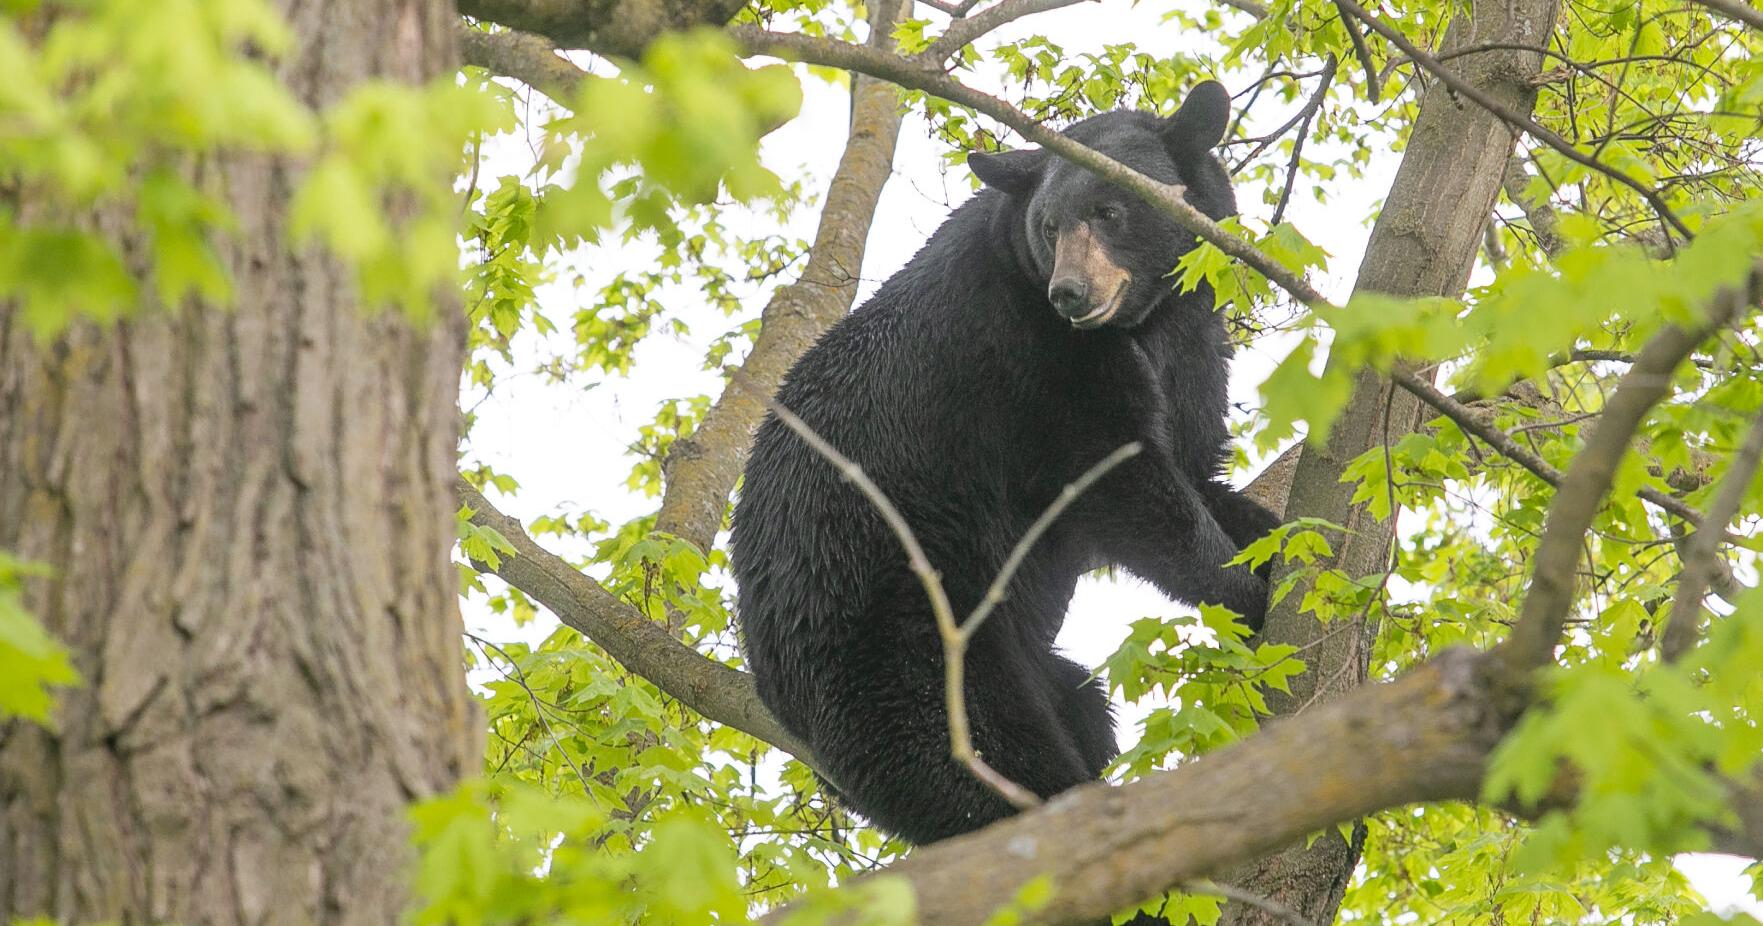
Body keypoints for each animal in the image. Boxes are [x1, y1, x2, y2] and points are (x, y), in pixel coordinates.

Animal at [729, 80, 1280, 850]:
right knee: (961, 748)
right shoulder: (1026, 356)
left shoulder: (1190, 333)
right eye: (1048, 226)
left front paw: (1279, 538)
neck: (1136, 323)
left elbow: (1193, 462)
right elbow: (1122, 484)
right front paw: (1245, 593)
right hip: (896, 614)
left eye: (1110, 212)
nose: (1069, 292)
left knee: (1080, 698)